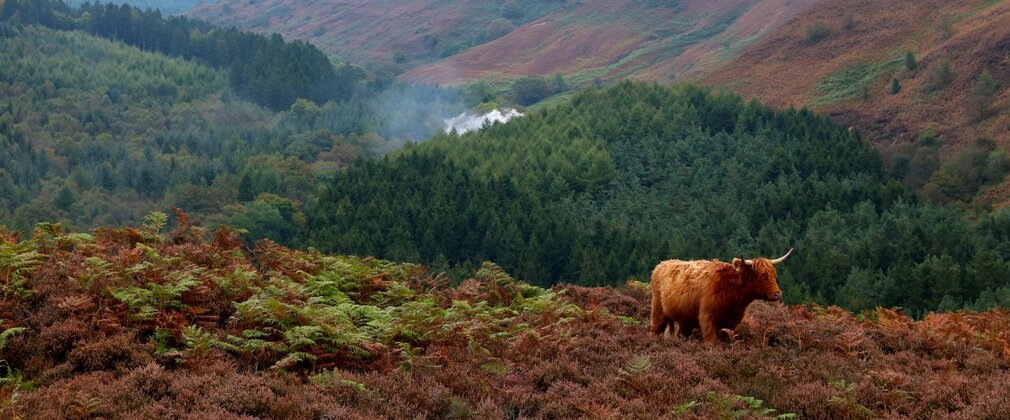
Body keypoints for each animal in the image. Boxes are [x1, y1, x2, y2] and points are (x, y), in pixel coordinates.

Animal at [650, 248, 793, 343]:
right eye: (763, 275)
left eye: (774, 274)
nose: (777, 294)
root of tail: (662, 264)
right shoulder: (707, 318)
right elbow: (711, 343)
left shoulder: (728, 324)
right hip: (658, 311)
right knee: (655, 330)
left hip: (684, 319)